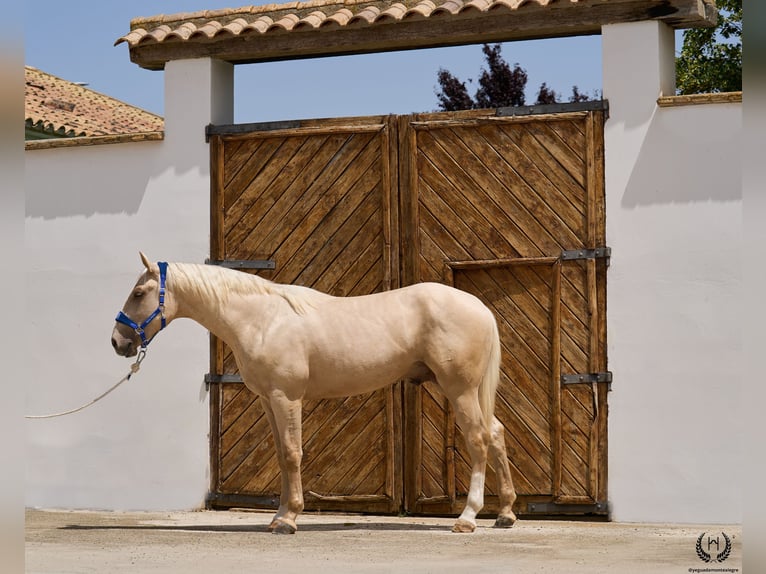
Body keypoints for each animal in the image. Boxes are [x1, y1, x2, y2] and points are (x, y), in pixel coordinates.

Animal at [112, 252, 518, 534]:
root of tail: (480, 307)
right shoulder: (268, 400)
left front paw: (288, 519)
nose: (118, 342)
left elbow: (293, 454)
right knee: (496, 434)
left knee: (478, 440)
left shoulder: (286, 397)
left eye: (138, 292)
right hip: (464, 390)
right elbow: (280, 454)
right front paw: (278, 516)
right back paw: (506, 513)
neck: (262, 319)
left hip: (460, 389)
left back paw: (468, 517)